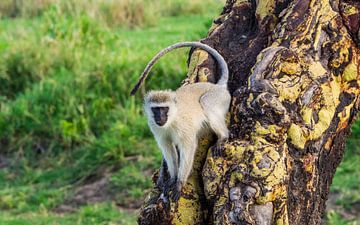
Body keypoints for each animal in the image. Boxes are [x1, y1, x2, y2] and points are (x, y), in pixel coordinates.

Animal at [130, 41, 231, 200]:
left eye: (164, 109)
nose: (160, 117)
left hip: (219, 98)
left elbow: (188, 148)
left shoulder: (183, 127)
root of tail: (216, 86)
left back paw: (223, 137)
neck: (172, 119)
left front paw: (179, 183)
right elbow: (169, 150)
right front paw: (171, 180)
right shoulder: (155, 127)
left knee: (207, 103)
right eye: (156, 110)